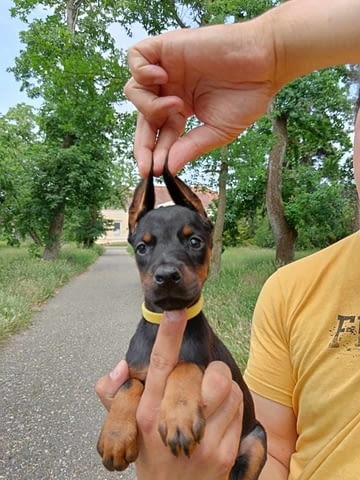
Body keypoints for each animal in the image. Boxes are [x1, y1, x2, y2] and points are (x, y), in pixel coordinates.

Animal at [97, 167, 266, 478]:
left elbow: (185, 365)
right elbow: (128, 384)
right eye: (142, 247)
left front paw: (179, 416)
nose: (166, 276)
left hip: (256, 438)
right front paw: (115, 437)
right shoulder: (136, 369)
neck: (166, 321)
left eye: (194, 241)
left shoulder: (208, 363)